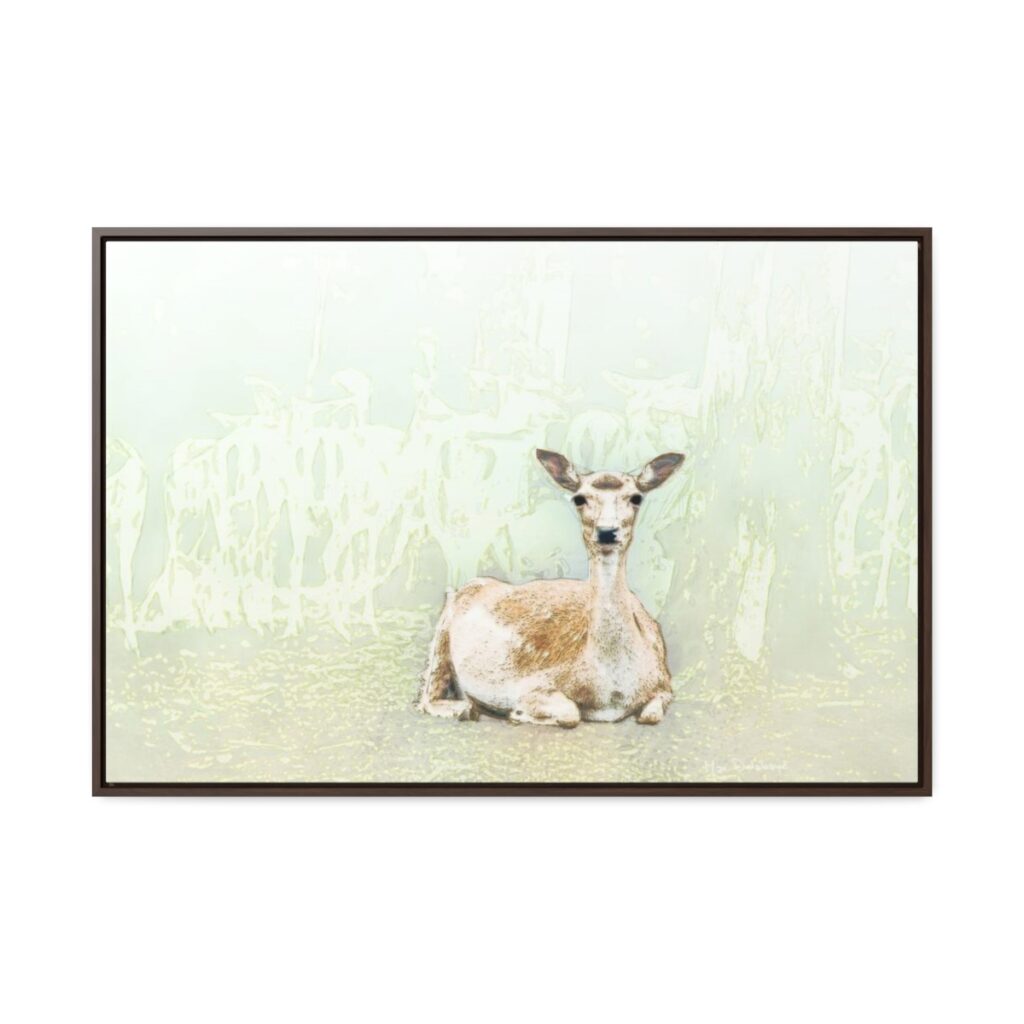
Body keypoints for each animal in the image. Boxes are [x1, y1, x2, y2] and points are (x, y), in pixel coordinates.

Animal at [418, 448, 685, 727]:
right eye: (579, 498)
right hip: (441, 636)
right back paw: (467, 709)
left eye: (635, 497)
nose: (607, 531)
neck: (612, 692)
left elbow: (651, 714)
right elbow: (571, 713)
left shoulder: (664, 682)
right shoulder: (535, 684)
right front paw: (517, 713)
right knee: (427, 695)